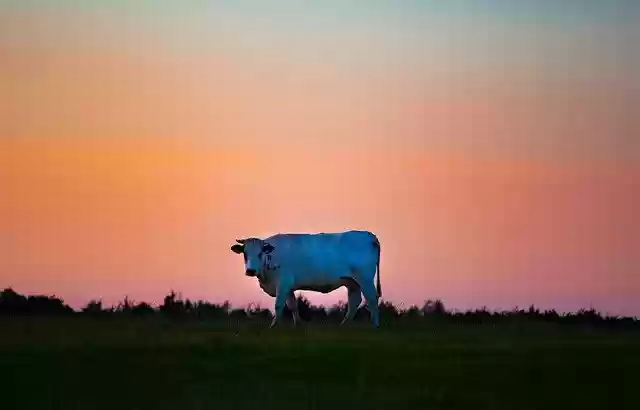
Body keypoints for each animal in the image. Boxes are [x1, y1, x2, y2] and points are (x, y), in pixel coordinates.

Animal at [230, 230, 382, 328]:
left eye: (260, 253)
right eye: (245, 254)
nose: (250, 270)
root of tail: (369, 235)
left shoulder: (283, 283)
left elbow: (278, 305)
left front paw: (273, 325)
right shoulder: (288, 286)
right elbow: (292, 305)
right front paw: (298, 324)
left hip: (365, 278)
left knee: (372, 298)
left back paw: (374, 325)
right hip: (352, 282)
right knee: (354, 301)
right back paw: (344, 325)